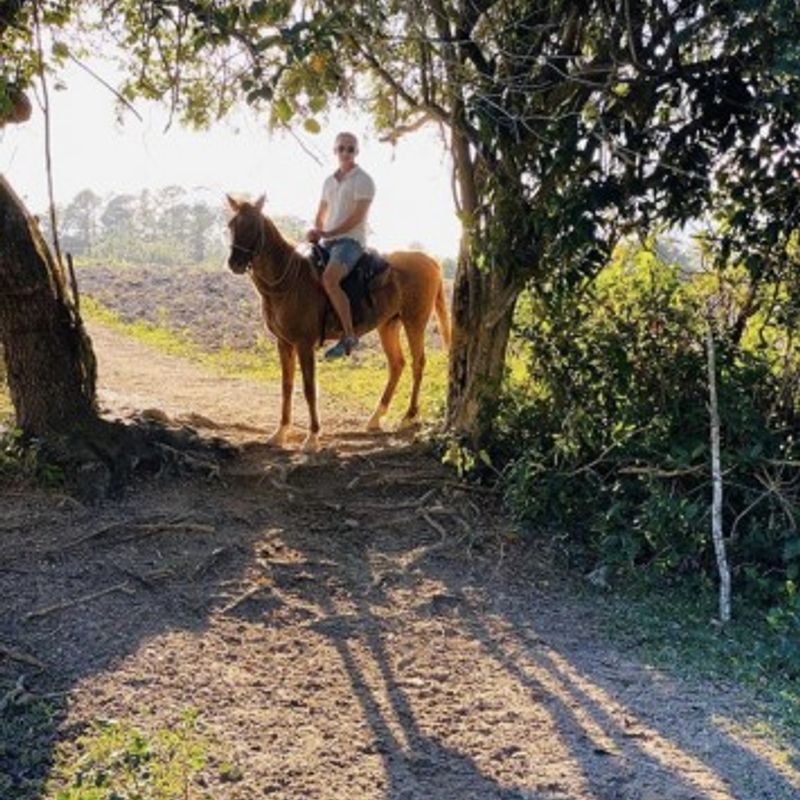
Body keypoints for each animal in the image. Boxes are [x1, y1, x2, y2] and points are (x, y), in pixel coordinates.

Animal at [227, 195, 450, 450]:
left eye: (254, 226)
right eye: (232, 225)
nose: (234, 263)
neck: (289, 280)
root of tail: (430, 260)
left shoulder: (304, 343)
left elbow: (309, 388)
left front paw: (312, 437)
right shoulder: (283, 343)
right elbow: (286, 386)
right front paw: (280, 433)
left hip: (414, 321)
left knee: (418, 363)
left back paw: (409, 415)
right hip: (388, 324)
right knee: (397, 364)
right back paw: (376, 417)